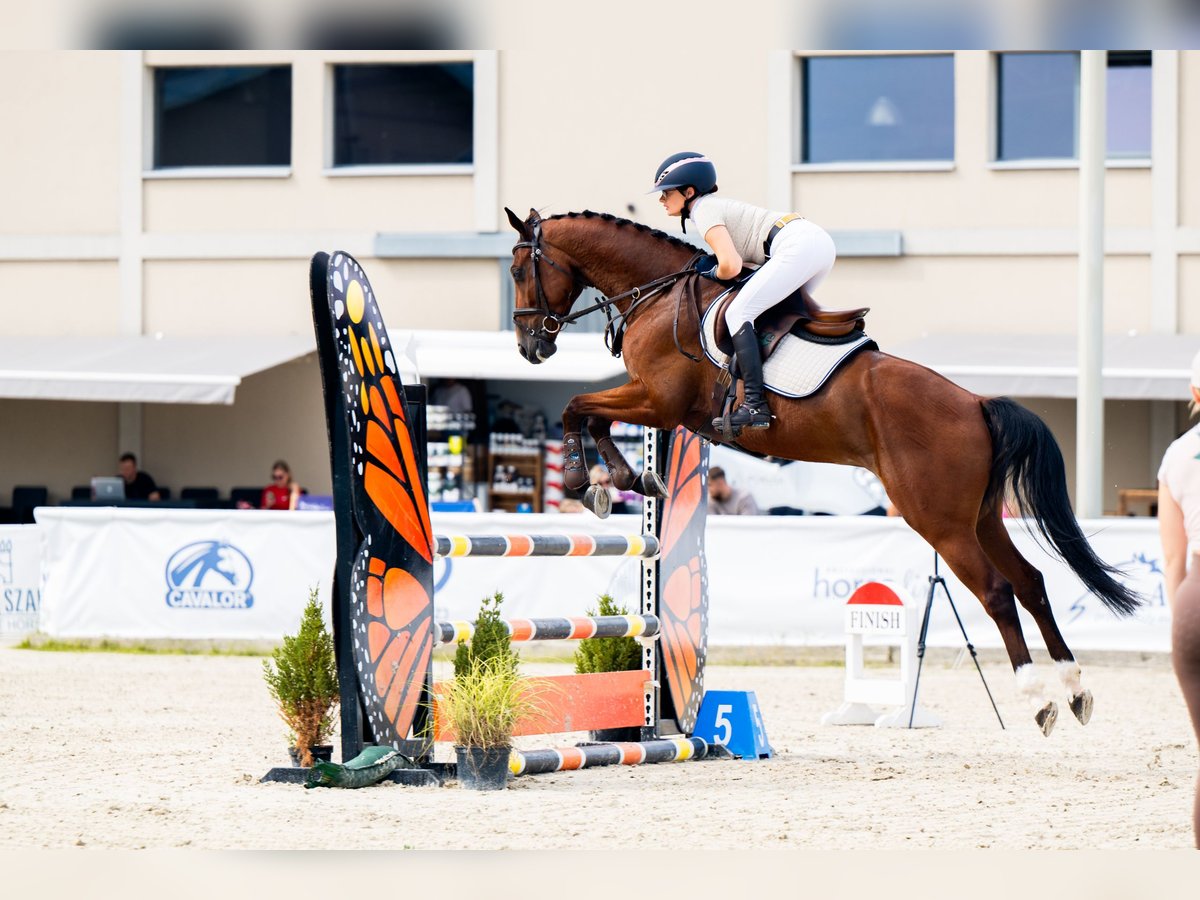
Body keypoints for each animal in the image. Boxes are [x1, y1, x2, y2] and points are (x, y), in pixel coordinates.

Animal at [501, 207, 1137, 734]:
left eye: (517, 270)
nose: (532, 348)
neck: (657, 295)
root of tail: (976, 402)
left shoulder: (659, 402)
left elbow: (578, 407)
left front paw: (588, 480)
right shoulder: (655, 404)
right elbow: (590, 413)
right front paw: (628, 480)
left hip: (939, 520)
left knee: (999, 591)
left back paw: (1038, 698)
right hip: (980, 517)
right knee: (1031, 582)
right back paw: (1073, 688)